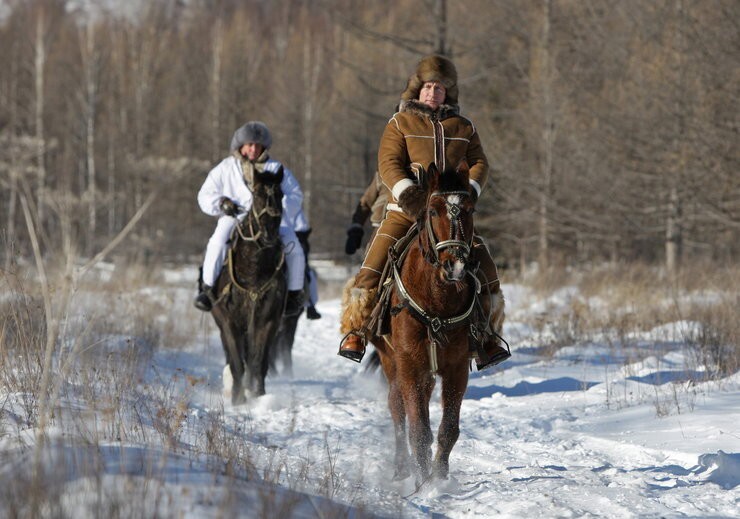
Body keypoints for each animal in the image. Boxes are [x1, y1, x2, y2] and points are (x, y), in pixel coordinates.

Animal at [212, 169, 288, 404]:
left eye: (281, 194)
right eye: (257, 195)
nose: (269, 232)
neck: (253, 272)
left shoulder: (267, 321)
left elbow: (258, 360)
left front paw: (258, 395)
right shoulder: (229, 321)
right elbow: (237, 362)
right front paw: (238, 399)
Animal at [370, 162, 480, 484]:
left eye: (469, 210)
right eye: (432, 211)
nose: (455, 265)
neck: (436, 302)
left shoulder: (457, 368)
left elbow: (448, 429)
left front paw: (440, 478)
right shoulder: (408, 365)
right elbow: (418, 429)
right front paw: (422, 484)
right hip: (390, 361)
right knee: (397, 409)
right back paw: (400, 468)